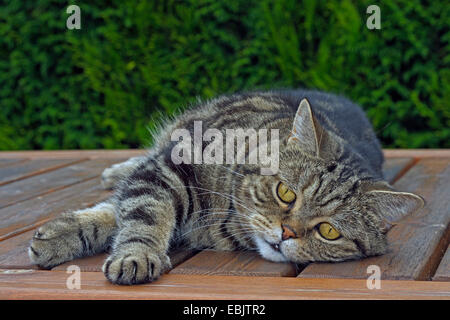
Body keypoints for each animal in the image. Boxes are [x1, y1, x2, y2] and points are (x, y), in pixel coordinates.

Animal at [29, 90, 424, 284]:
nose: (286, 233)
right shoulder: (171, 166)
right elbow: (143, 212)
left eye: (328, 231)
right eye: (286, 193)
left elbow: (126, 210)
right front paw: (134, 254)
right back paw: (116, 171)